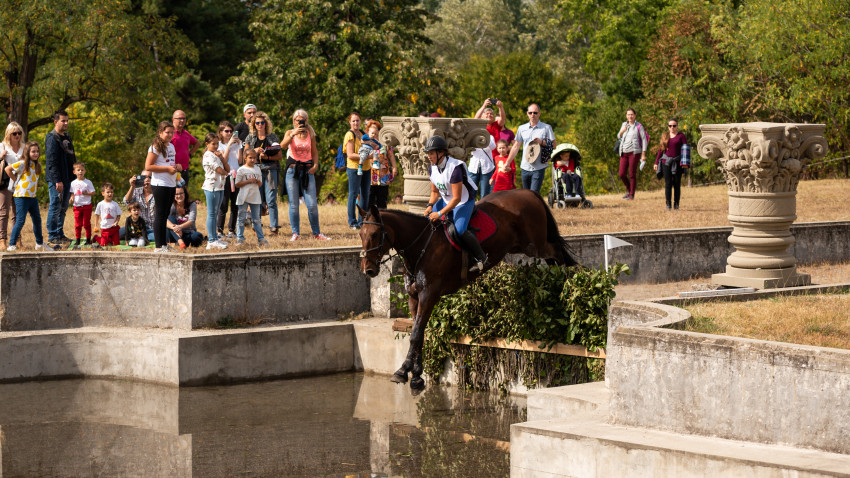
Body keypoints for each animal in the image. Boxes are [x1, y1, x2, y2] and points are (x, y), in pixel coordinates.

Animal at [357, 189, 578, 392]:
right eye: (360, 234)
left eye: (375, 235)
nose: (368, 270)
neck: (420, 246)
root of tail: (528, 192)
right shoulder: (414, 296)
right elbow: (418, 333)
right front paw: (415, 375)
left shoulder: (429, 295)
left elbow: (416, 335)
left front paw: (404, 371)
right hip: (518, 246)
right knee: (553, 256)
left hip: (534, 245)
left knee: (557, 252)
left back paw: (568, 279)